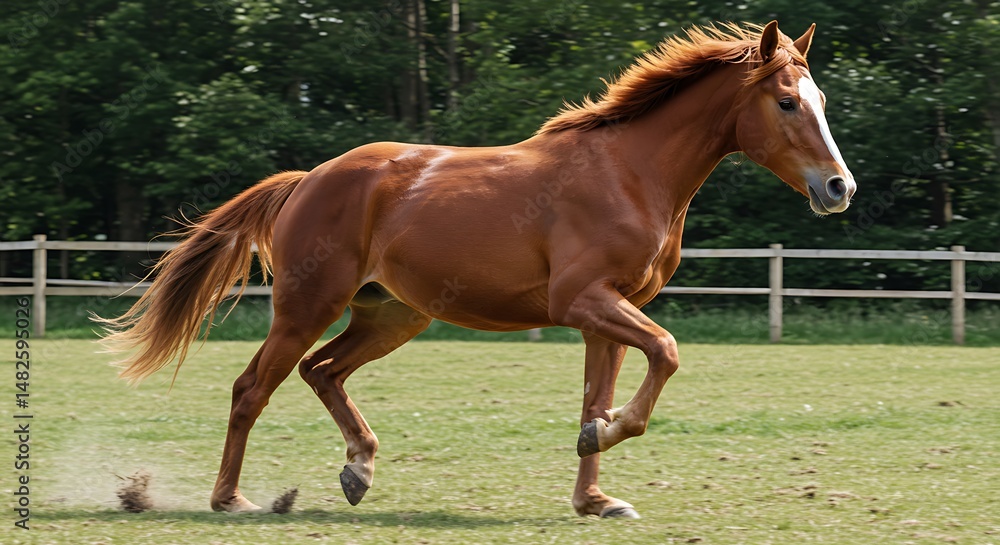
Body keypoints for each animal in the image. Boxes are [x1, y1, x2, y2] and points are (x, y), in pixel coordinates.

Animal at [98, 21, 856, 519]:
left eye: (821, 100)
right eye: (787, 101)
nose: (838, 187)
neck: (631, 173)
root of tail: (308, 179)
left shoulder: (606, 314)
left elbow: (597, 397)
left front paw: (595, 495)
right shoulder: (585, 300)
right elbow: (666, 353)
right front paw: (605, 445)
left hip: (392, 315)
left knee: (323, 371)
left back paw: (357, 469)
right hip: (308, 305)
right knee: (253, 386)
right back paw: (233, 498)